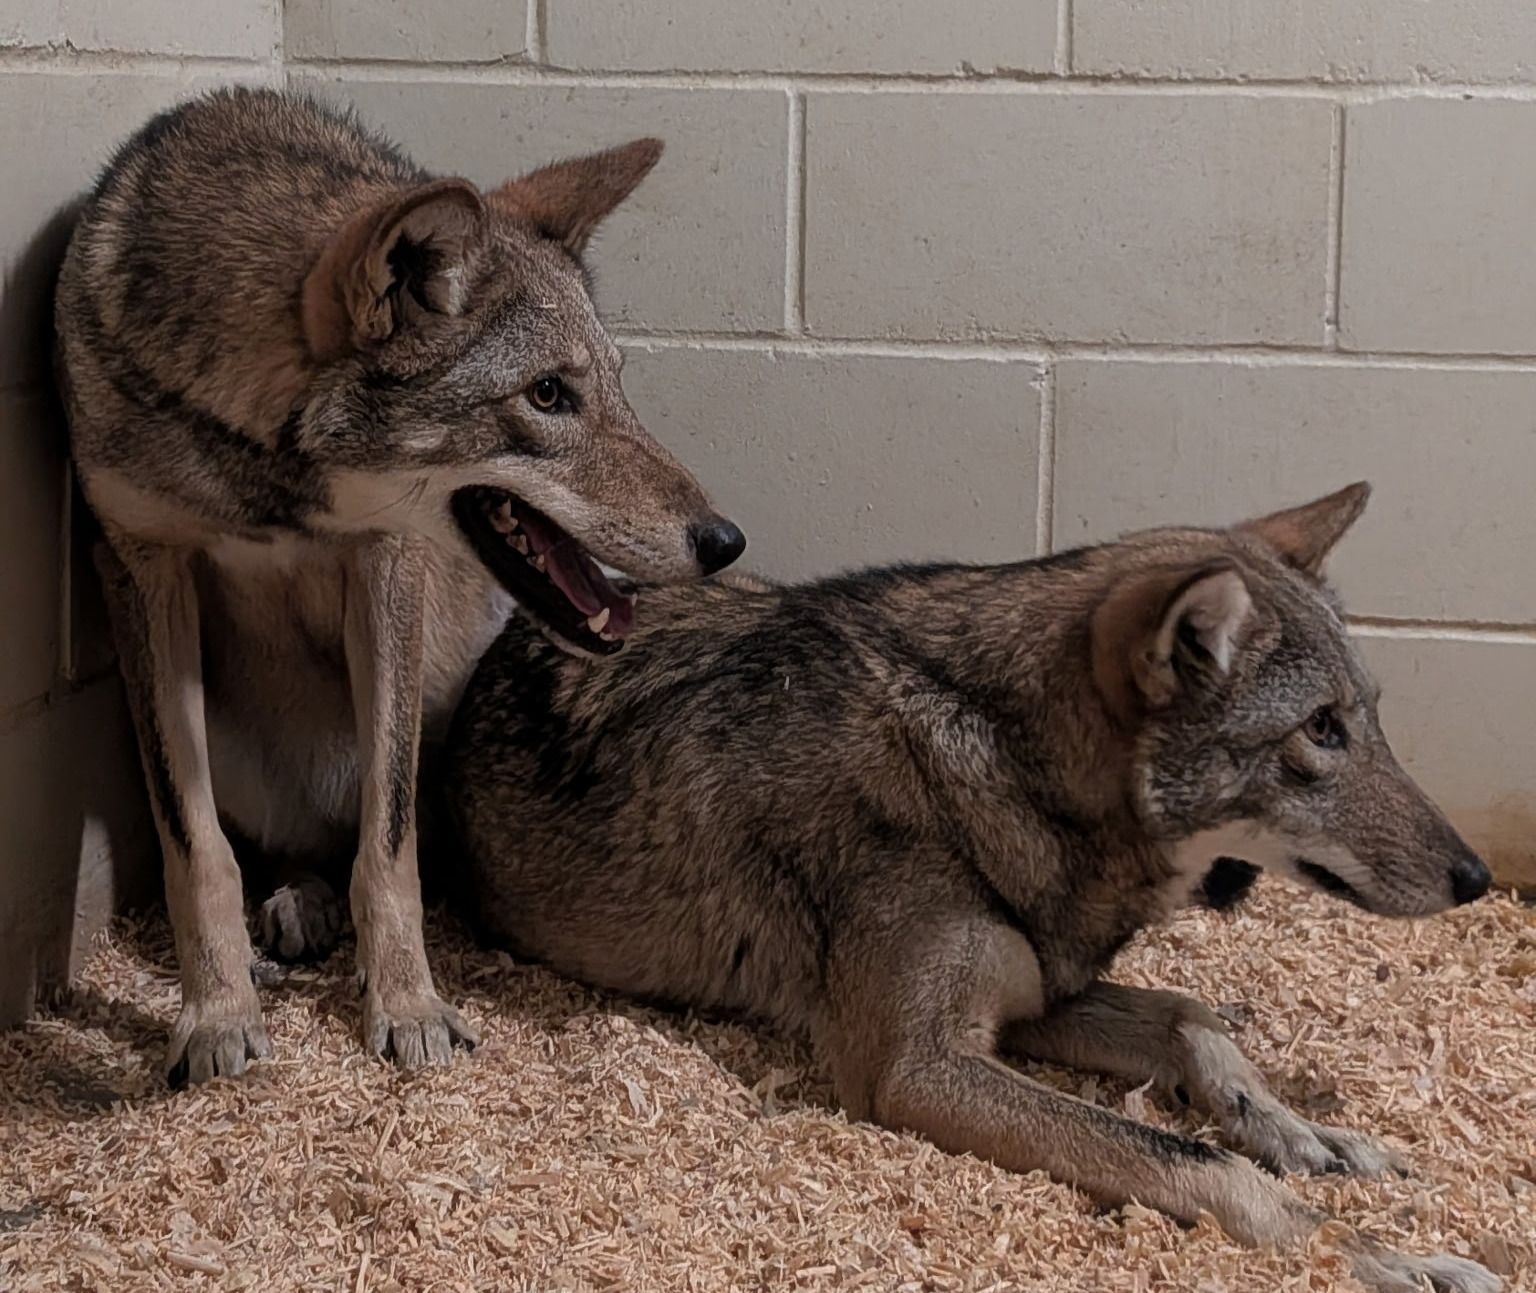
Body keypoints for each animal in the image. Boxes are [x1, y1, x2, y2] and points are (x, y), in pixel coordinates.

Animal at [52, 86, 744, 1086]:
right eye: (547, 394)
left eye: (617, 386)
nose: (725, 540)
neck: (274, 487)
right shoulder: (138, 568)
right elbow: (197, 844)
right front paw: (217, 1014)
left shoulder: (385, 560)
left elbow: (389, 841)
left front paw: (409, 1008)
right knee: (286, 846)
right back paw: (295, 908)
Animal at [446, 484, 1497, 1293]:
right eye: (1321, 729)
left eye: (1370, 718)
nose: (1478, 877)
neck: (999, 762)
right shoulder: (917, 1065)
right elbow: (1201, 1162)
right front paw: (1370, 1252)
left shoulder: (1036, 994)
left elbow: (1194, 1020)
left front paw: (1315, 1137)